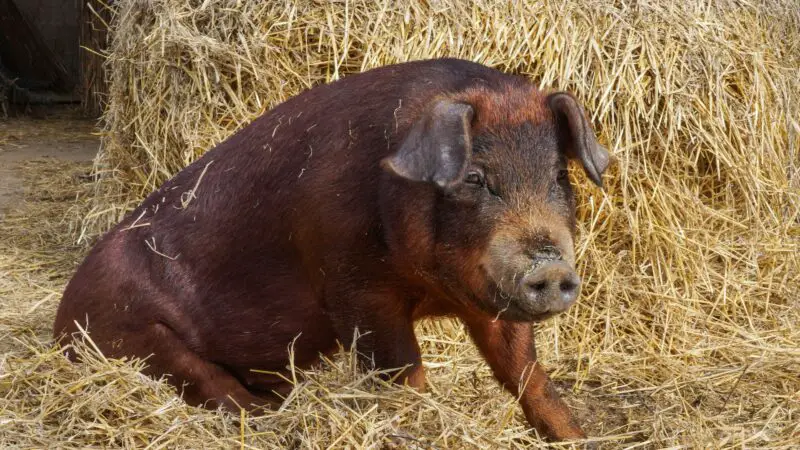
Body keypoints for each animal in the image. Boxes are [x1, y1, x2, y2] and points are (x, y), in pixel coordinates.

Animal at [54, 58, 608, 442]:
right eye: (474, 178)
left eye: (559, 177)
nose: (550, 266)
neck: (431, 289)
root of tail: (60, 320)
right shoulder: (355, 287)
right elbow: (403, 373)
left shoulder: (490, 301)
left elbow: (527, 375)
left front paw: (578, 437)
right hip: (141, 337)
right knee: (220, 393)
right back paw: (271, 424)